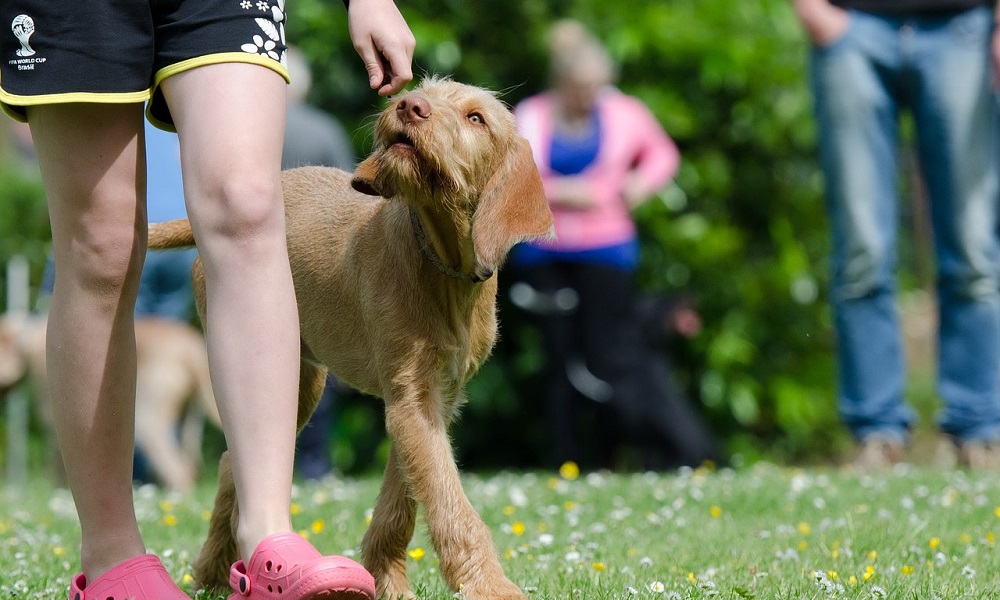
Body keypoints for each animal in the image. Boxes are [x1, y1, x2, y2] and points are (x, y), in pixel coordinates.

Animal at [0, 312, 221, 490]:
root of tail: (189, 348)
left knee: (178, 470)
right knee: (190, 465)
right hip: (189, 420)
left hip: (149, 420)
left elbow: (57, 465)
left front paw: (58, 492)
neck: (28, 339)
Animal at [148, 77, 556, 600]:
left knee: (227, 464)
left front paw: (386, 577)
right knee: (231, 461)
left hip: (300, 383)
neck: (443, 266)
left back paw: (214, 572)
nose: (409, 105)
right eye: (425, 91)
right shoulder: (411, 398)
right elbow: (448, 499)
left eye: (475, 118)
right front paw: (490, 584)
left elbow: (404, 497)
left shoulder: (430, 400)